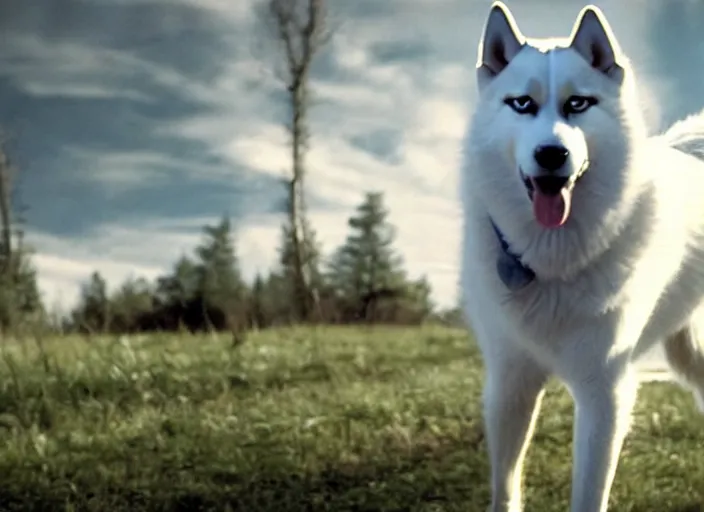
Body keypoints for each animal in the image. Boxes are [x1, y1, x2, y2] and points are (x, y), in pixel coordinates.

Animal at [462, 2, 704, 510]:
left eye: (578, 105)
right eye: (522, 104)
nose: (551, 154)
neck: (554, 259)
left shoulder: (604, 393)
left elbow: (589, 492)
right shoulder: (510, 381)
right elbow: (504, 485)